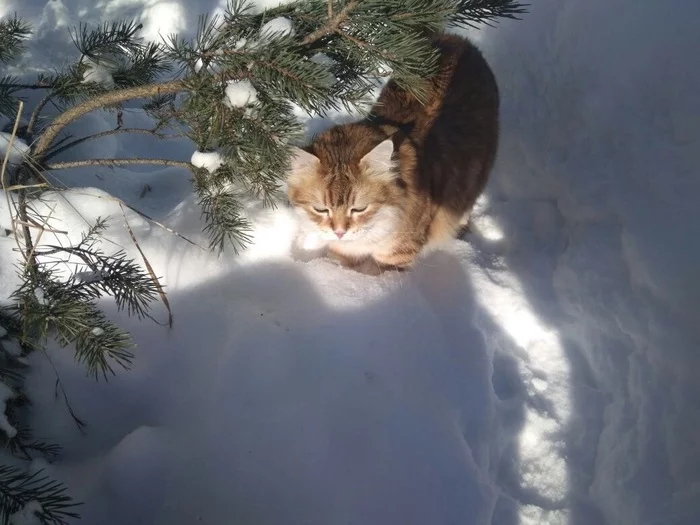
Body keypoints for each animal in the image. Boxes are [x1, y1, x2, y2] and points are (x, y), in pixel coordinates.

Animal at [284, 32, 498, 274]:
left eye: (359, 208)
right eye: (320, 209)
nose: (339, 232)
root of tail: (459, 39)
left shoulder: (398, 256)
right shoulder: (344, 251)